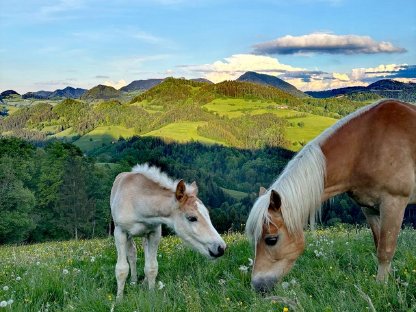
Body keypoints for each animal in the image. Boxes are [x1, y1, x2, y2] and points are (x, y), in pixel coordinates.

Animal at [110, 163, 226, 300]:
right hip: (128, 235)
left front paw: (151, 295)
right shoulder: (120, 232)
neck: (137, 202)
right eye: (192, 218)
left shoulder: (154, 232)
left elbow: (151, 267)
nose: (221, 248)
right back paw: (133, 281)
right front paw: (119, 299)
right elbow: (121, 269)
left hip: (145, 235)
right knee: (132, 254)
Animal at [245, 100, 414, 292]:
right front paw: (390, 280)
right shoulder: (369, 209)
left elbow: (385, 250)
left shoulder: (393, 203)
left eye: (271, 240)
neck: (368, 144)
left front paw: (382, 288)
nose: (257, 286)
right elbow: (378, 243)